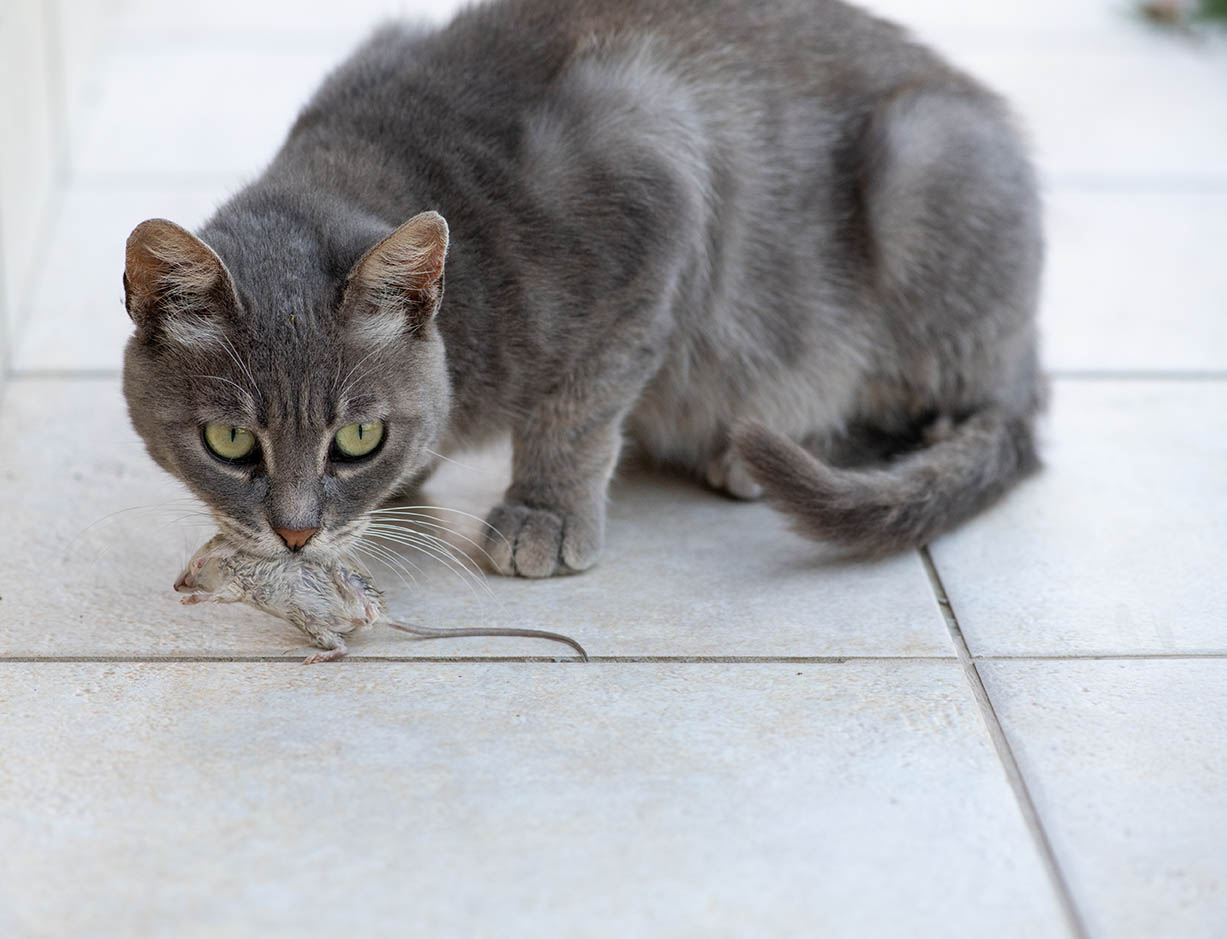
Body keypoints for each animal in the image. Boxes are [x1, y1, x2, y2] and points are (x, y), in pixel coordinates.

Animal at [122, 0, 1045, 574]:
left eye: (356, 437)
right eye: (230, 443)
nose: (295, 533)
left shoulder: (654, 188)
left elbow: (577, 409)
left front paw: (543, 513)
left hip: (923, 168)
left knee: (934, 407)